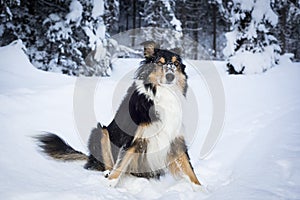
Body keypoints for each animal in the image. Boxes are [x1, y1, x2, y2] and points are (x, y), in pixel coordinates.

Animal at [37, 48, 202, 189]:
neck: (162, 94)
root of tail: (90, 158)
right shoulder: (133, 138)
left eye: (176, 64)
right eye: (160, 62)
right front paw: (110, 184)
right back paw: (108, 173)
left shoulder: (175, 138)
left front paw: (200, 189)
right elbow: (122, 162)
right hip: (100, 131)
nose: (170, 76)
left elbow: (188, 166)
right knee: (108, 162)